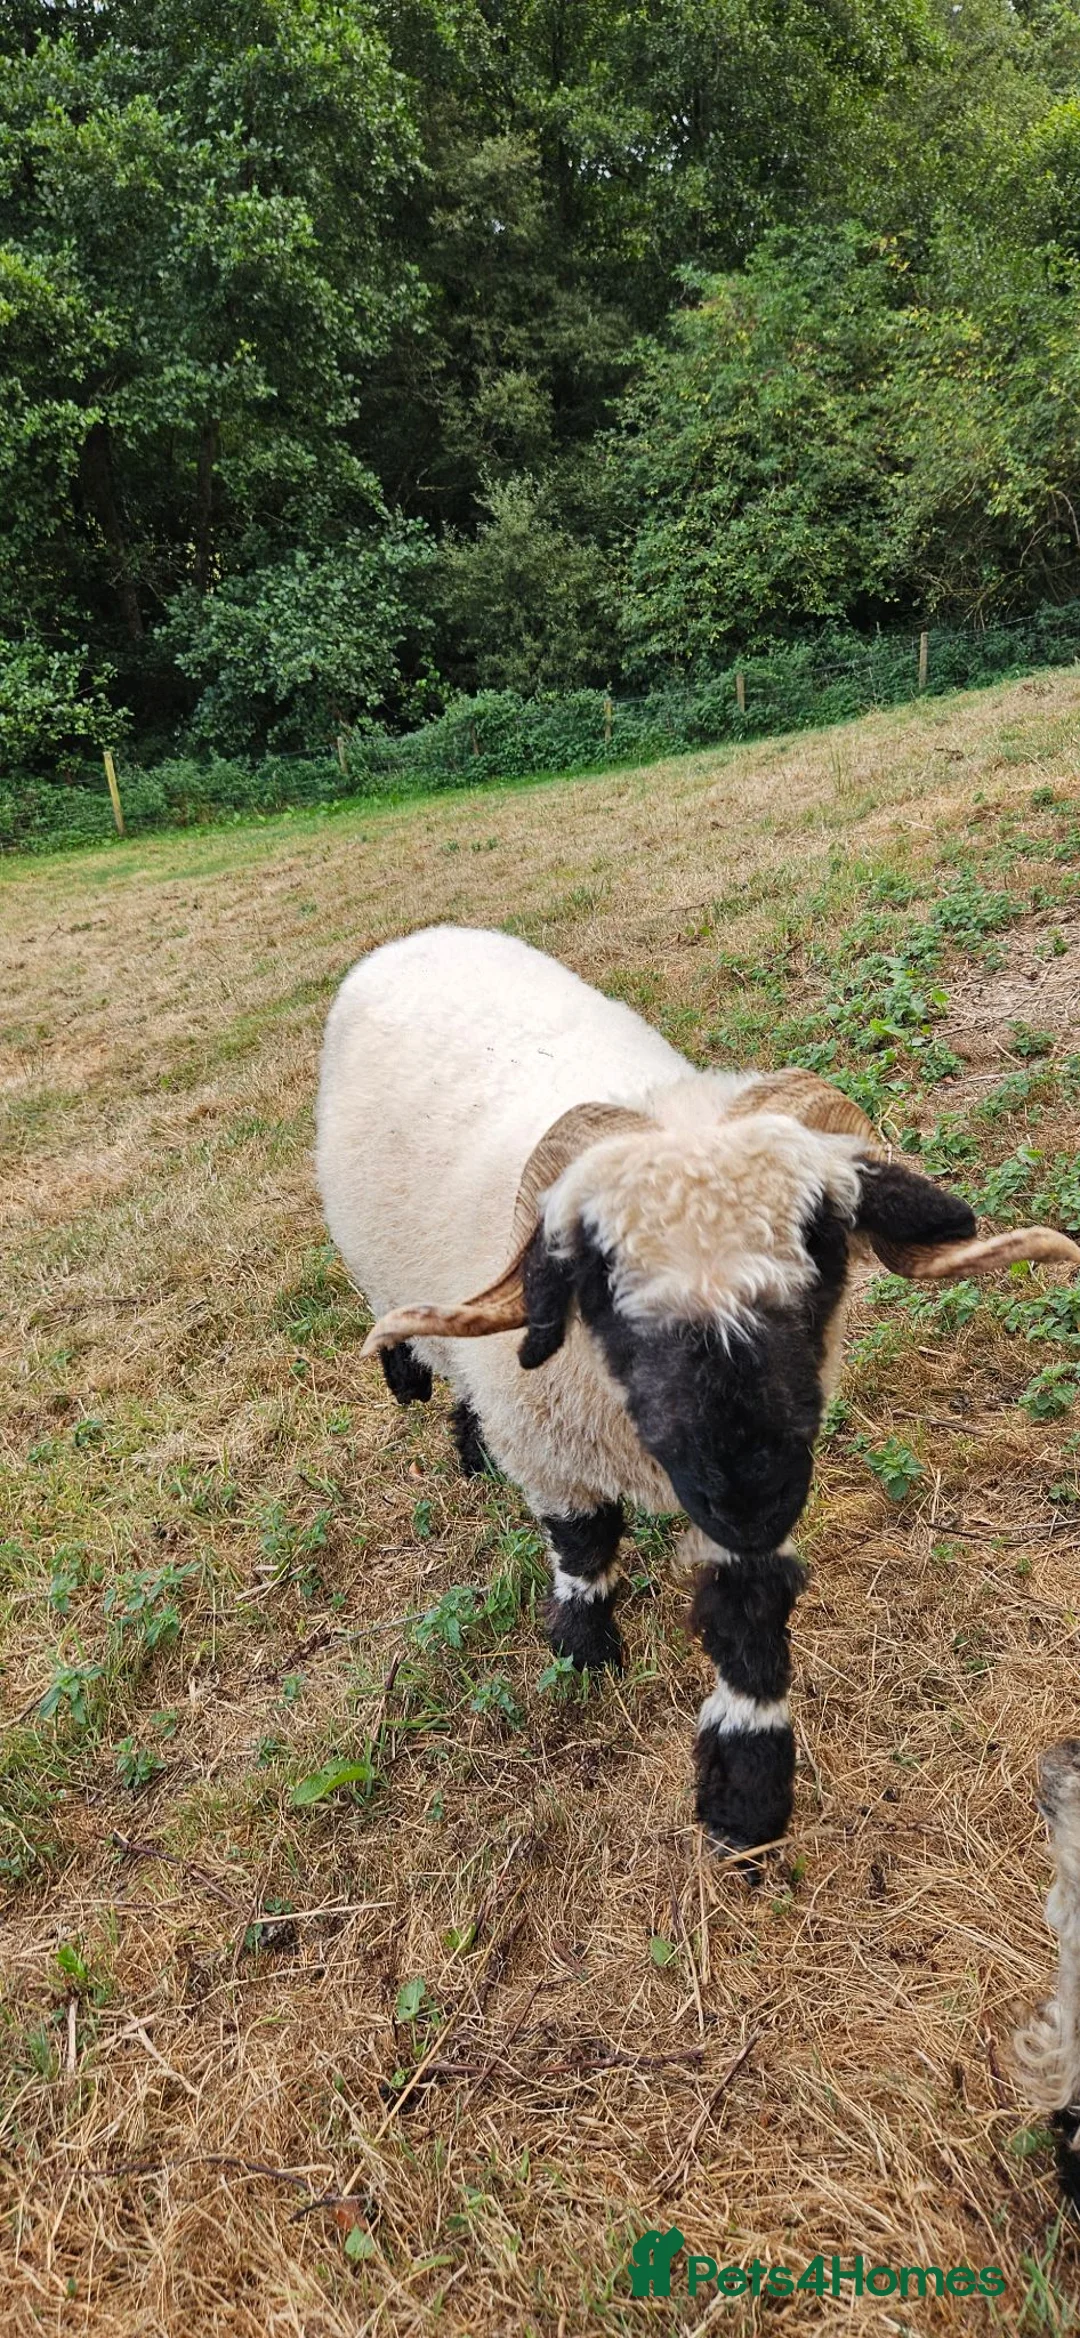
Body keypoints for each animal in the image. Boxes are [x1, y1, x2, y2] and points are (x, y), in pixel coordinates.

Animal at [315, 923, 1080, 1857]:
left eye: (825, 1245)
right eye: (602, 1278)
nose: (746, 1486)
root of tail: (422, 936)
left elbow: (749, 1611)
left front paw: (746, 1790)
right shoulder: (552, 1450)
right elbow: (582, 1547)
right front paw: (583, 1649)